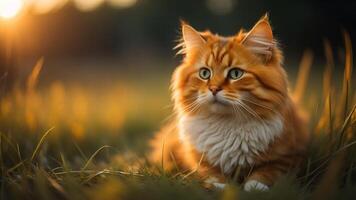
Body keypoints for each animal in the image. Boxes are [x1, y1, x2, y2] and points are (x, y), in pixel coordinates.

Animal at [149, 15, 308, 191]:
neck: (227, 124)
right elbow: (211, 175)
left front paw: (254, 189)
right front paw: (222, 188)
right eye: (205, 73)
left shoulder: (288, 157)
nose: (214, 89)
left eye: (235, 73)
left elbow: (265, 173)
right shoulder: (199, 161)